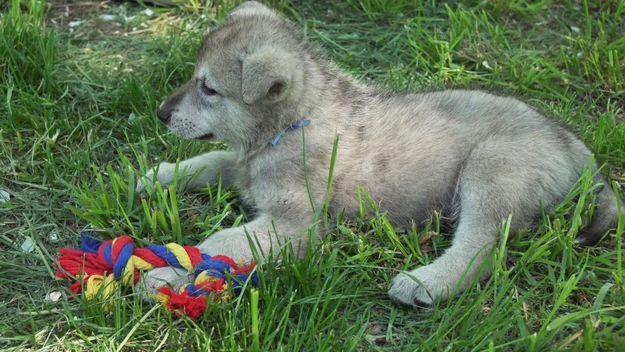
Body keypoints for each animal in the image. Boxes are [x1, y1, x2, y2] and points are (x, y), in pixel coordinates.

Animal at [136, 1, 620, 306]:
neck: (291, 124)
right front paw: (155, 176)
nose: (160, 113)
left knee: (481, 248)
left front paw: (168, 274)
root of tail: (572, 143)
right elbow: (208, 161)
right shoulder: (242, 166)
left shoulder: (296, 223)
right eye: (194, 79)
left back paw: (425, 283)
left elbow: (221, 242)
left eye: (209, 89)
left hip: (492, 170)